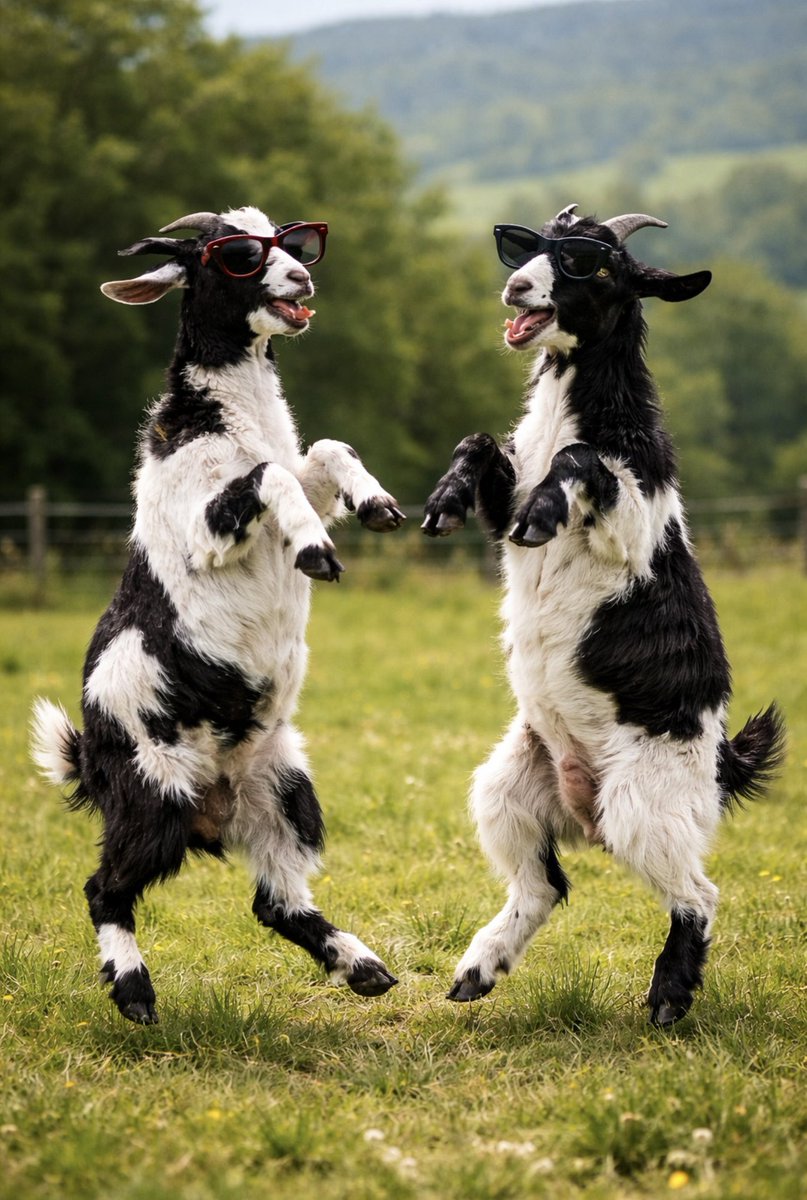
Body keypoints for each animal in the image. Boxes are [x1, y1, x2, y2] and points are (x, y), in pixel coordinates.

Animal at [32, 206, 403, 1024]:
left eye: (294, 242)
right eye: (232, 256)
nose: (301, 280)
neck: (225, 418)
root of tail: (91, 761)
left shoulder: (296, 466)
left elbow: (321, 452)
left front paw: (374, 504)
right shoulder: (204, 523)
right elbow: (267, 476)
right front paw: (315, 551)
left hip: (283, 788)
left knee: (275, 902)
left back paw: (361, 965)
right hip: (155, 791)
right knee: (105, 888)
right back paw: (135, 993)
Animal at [422, 205, 784, 1026]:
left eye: (592, 264)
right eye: (524, 245)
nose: (515, 289)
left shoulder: (633, 520)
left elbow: (583, 461)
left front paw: (543, 515)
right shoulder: (505, 485)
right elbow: (480, 443)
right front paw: (444, 502)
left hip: (642, 802)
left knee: (697, 894)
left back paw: (668, 998)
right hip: (507, 788)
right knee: (543, 884)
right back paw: (478, 968)